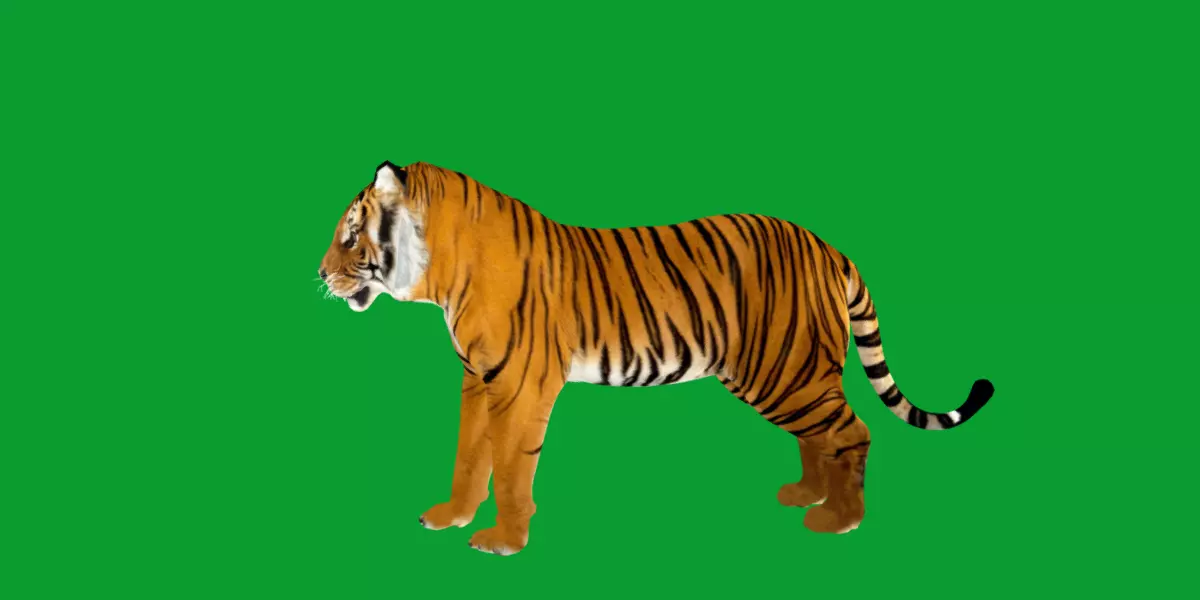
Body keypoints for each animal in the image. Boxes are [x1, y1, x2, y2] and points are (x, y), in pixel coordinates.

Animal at [318, 160, 994, 556]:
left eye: (351, 233)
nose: (320, 275)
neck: (441, 271)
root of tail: (828, 246)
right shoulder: (477, 379)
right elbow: (469, 455)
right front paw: (452, 516)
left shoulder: (518, 383)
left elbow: (509, 468)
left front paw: (504, 540)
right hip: (789, 374)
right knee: (820, 435)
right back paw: (806, 494)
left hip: (787, 370)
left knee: (850, 432)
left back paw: (838, 520)